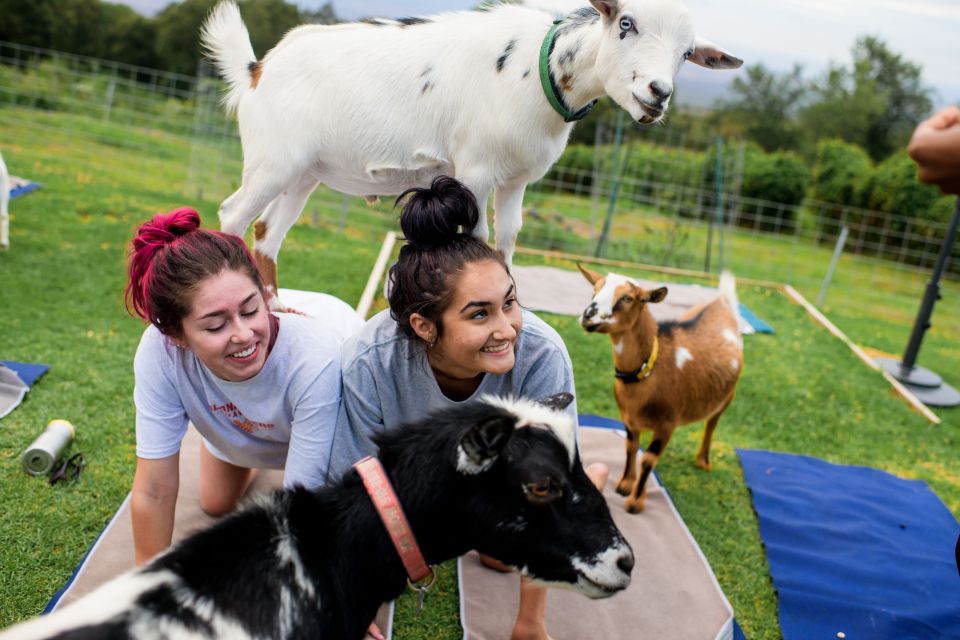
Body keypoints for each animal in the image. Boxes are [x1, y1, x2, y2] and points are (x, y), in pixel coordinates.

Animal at [202, 0, 744, 310]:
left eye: (688, 51)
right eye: (626, 24)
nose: (658, 93)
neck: (541, 68)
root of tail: (257, 69)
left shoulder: (517, 179)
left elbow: (508, 238)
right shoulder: (477, 172)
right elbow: (479, 238)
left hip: (304, 174)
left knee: (268, 230)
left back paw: (277, 305)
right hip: (272, 162)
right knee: (233, 214)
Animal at [576, 264, 744, 516]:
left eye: (627, 298)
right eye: (594, 290)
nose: (588, 315)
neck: (649, 370)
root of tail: (722, 302)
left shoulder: (667, 423)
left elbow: (648, 459)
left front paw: (635, 503)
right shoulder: (628, 419)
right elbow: (631, 447)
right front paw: (626, 484)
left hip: (728, 396)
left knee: (712, 423)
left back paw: (703, 461)